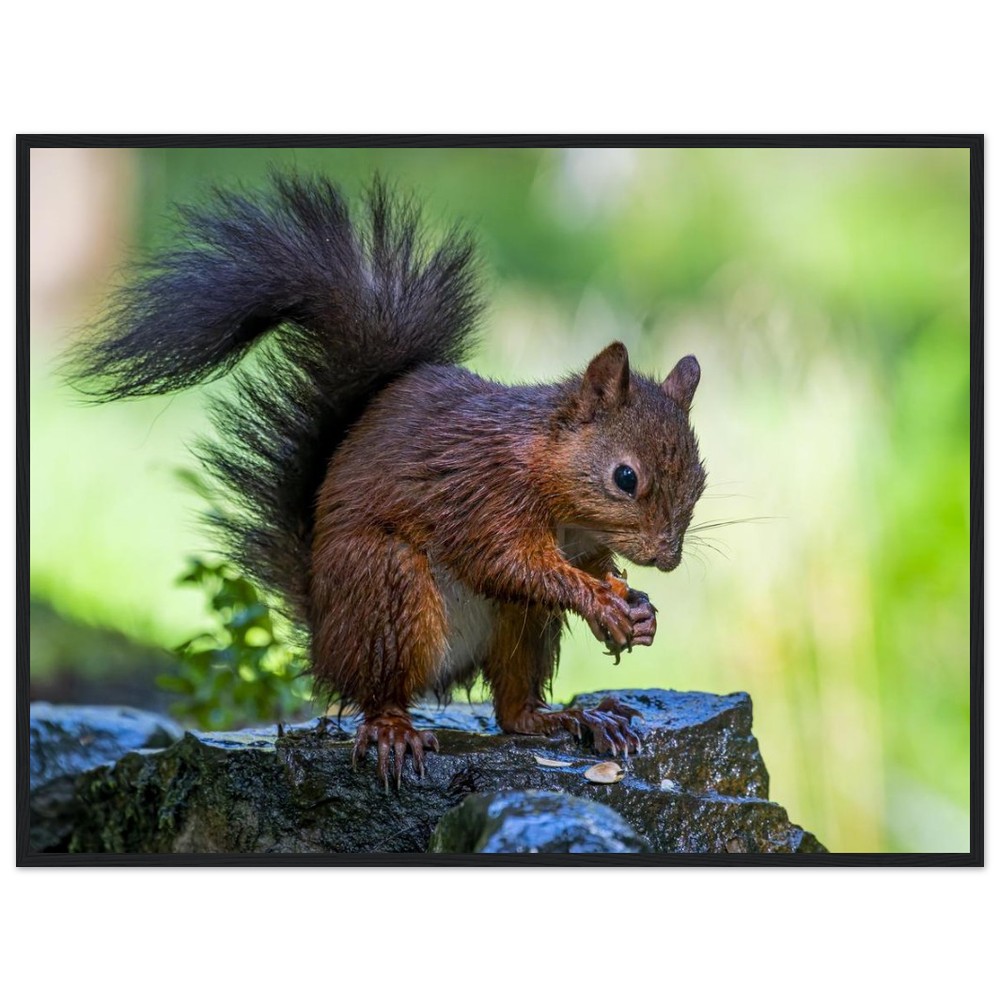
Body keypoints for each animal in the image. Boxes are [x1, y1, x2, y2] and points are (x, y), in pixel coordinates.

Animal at [70, 173, 707, 787]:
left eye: (700, 481)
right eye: (625, 477)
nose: (668, 558)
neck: (554, 485)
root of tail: (324, 637)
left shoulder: (579, 540)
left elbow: (588, 567)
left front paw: (637, 609)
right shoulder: (483, 496)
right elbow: (509, 563)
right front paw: (600, 601)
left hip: (519, 625)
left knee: (512, 710)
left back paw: (572, 717)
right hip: (385, 589)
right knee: (380, 691)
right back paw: (394, 730)